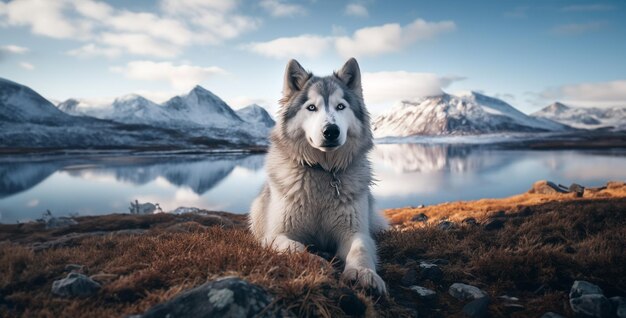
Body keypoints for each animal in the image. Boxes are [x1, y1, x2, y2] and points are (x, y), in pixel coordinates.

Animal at [247, 57, 386, 294]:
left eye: (341, 106)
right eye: (311, 107)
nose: (331, 131)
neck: (323, 172)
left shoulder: (355, 231)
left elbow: (360, 249)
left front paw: (363, 273)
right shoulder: (274, 235)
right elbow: (294, 246)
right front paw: (316, 262)